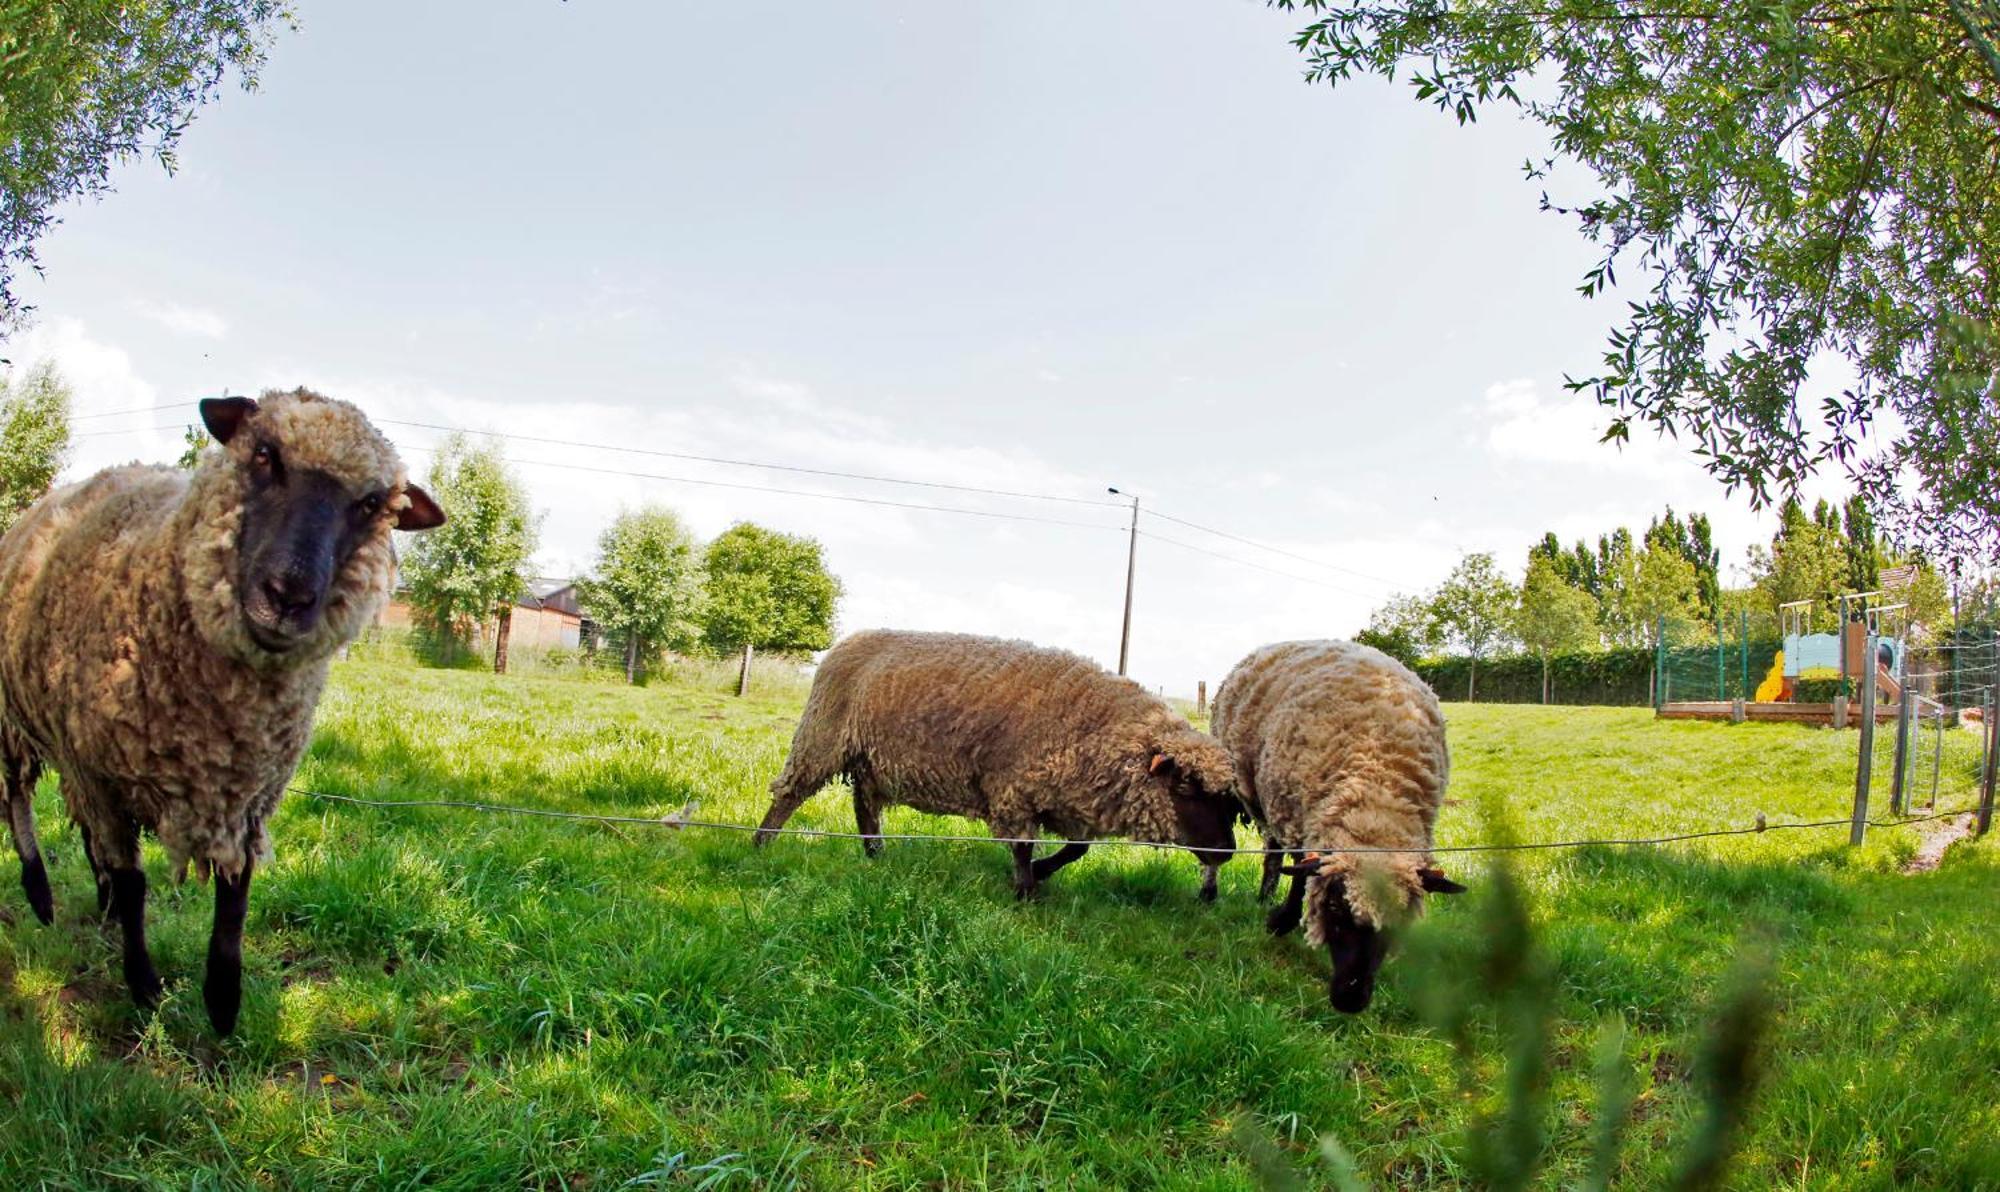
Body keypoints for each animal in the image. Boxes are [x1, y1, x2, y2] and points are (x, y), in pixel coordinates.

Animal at [0, 392, 442, 1032]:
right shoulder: (103, 776)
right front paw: (145, 986)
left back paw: (99, 905)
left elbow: (236, 894)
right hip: (16, 718)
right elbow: (135, 885)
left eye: (370, 504)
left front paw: (224, 1002)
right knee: (18, 799)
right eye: (264, 454)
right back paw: (39, 894)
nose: (288, 596)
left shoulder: (249, 791)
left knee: (84, 830)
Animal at [752, 628, 1240, 900]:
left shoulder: (1068, 800)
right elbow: (1023, 846)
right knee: (790, 793)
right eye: (1183, 788)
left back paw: (876, 855)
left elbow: (1076, 850)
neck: (1095, 724)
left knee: (865, 805)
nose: (1228, 851)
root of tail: (851, 638)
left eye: (1229, 802)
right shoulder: (1014, 790)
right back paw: (761, 844)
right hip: (822, 737)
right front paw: (1025, 891)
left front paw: (1041, 874)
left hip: (872, 760)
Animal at [1200, 636, 1472, 1012]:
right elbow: (1302, 877)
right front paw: (1280, 921)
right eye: (1333, 907)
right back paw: (1214, 892)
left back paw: (1265, 894)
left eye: (1399, 919)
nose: (1350, 1000)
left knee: (1272, 853)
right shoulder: (1302, 820)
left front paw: (1277, 914)